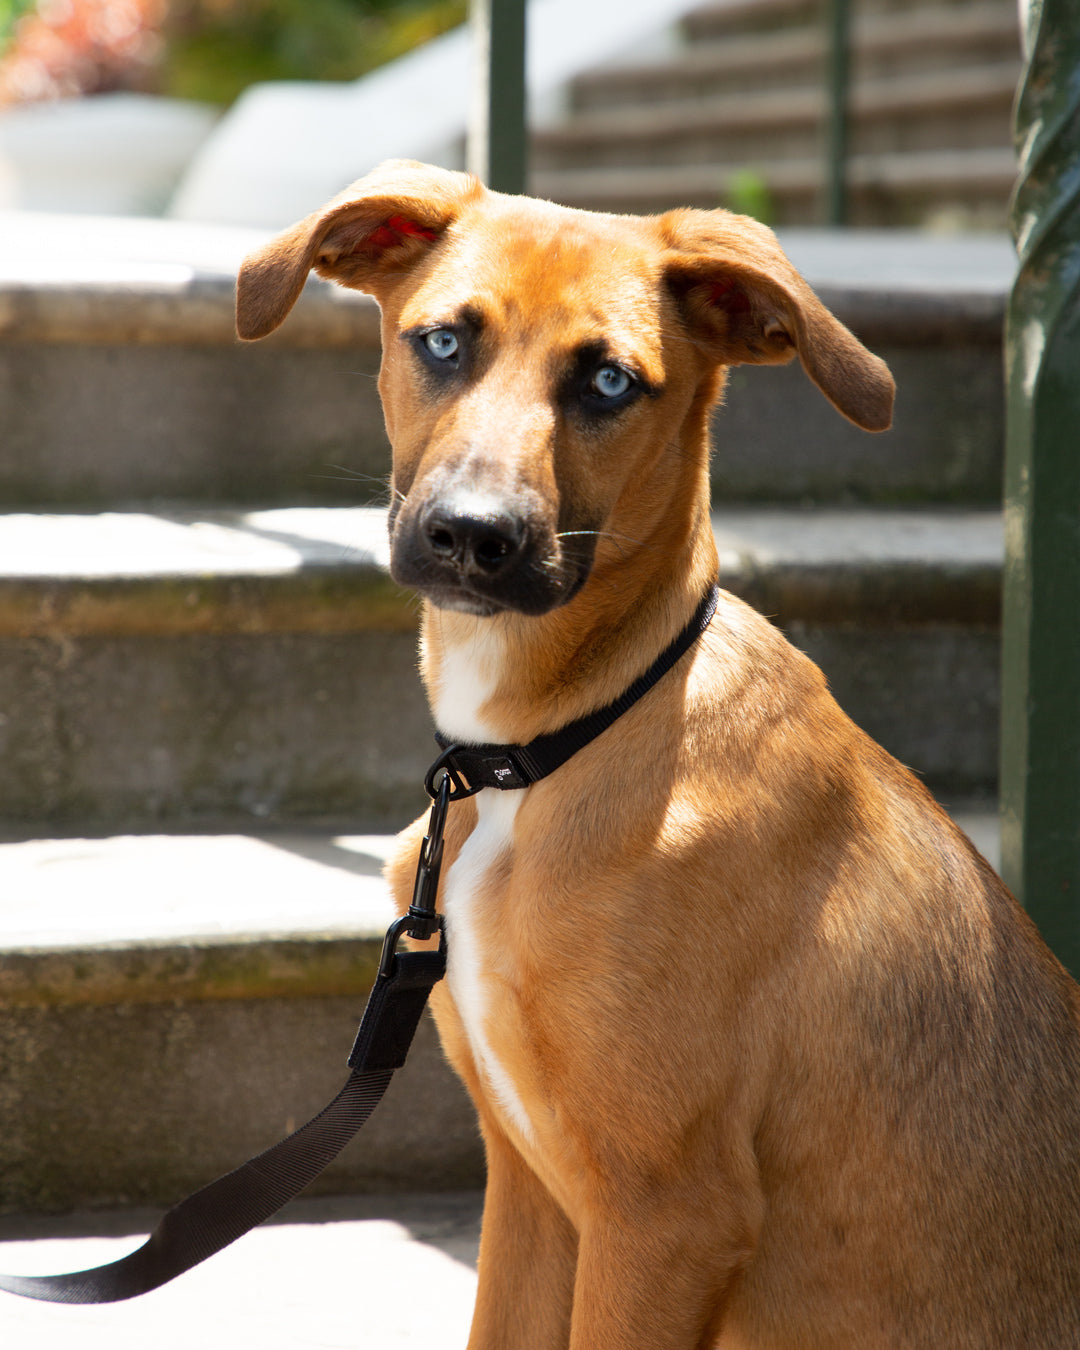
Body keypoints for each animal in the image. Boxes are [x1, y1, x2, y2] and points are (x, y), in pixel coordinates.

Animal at [238, 163, 1080, 1344]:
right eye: (442, 341)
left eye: (608, 381)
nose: (471, 537)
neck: (542, 755)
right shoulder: (531, 1183)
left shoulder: (664, 1212)